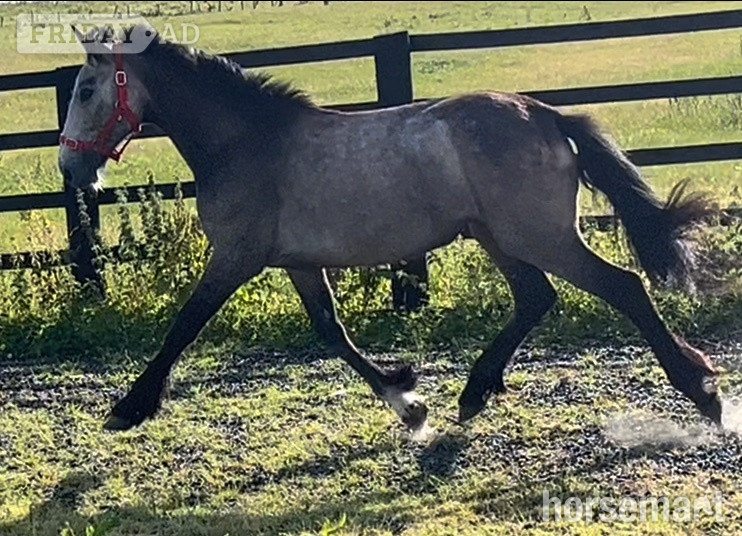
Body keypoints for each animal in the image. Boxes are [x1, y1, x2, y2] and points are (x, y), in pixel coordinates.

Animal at [58, 26, 721, 434]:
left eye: (87, 89)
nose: (70, 167)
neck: (245, 141)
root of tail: (548, 115)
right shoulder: (297, 262)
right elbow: (332, 333)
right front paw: (408, 400)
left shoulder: (236, 257)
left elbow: (184, 325)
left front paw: (128, 407)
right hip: (498, 236)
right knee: (537, 297)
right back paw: (473, 393)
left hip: (542, 236)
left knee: (622, 287)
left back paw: (703, 392)